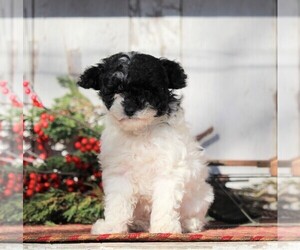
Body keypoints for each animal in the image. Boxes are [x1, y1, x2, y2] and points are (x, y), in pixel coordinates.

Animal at [77, 51, 213, 233]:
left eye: (148, 90)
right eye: (115, 90)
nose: (130, 108)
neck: (140, 132)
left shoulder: (168, 172)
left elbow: (165, 202)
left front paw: (164, 227)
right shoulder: (119, 173)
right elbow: (117, 202)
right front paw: (112, 226)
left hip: (201, 196)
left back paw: (190, 223)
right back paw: (138, 223)